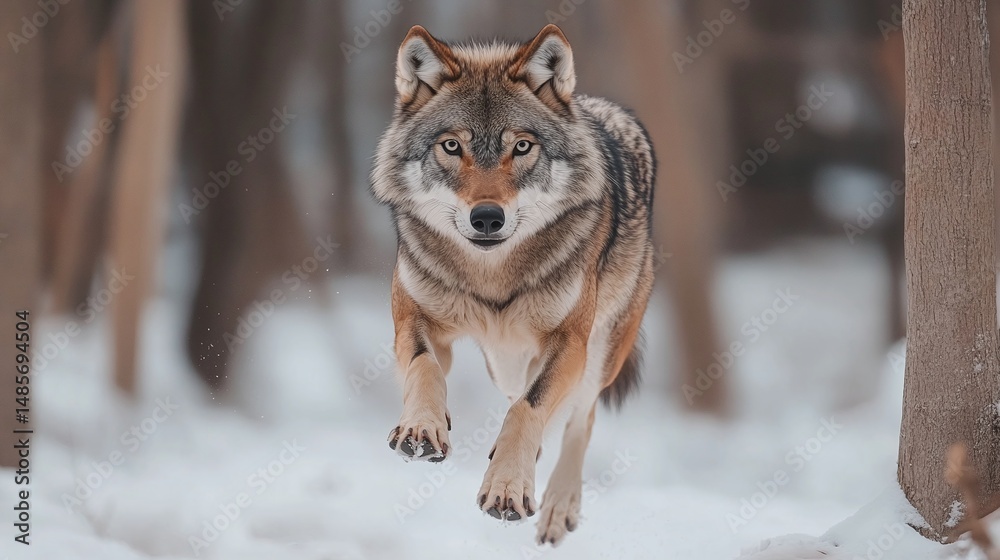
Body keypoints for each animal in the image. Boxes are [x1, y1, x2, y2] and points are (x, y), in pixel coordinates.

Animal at [371, 23, 655, 545]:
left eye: (521, 147)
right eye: (452, 146)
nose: (487, 217)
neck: (493, 277)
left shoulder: (569, 343)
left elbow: (530, 409)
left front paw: (506, 489)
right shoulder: (414, 320)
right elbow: (425, 368)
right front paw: (422, 431)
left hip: (599, 354)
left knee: (577, 417)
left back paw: (558, 507)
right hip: (504, 364)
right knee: (522, 397)